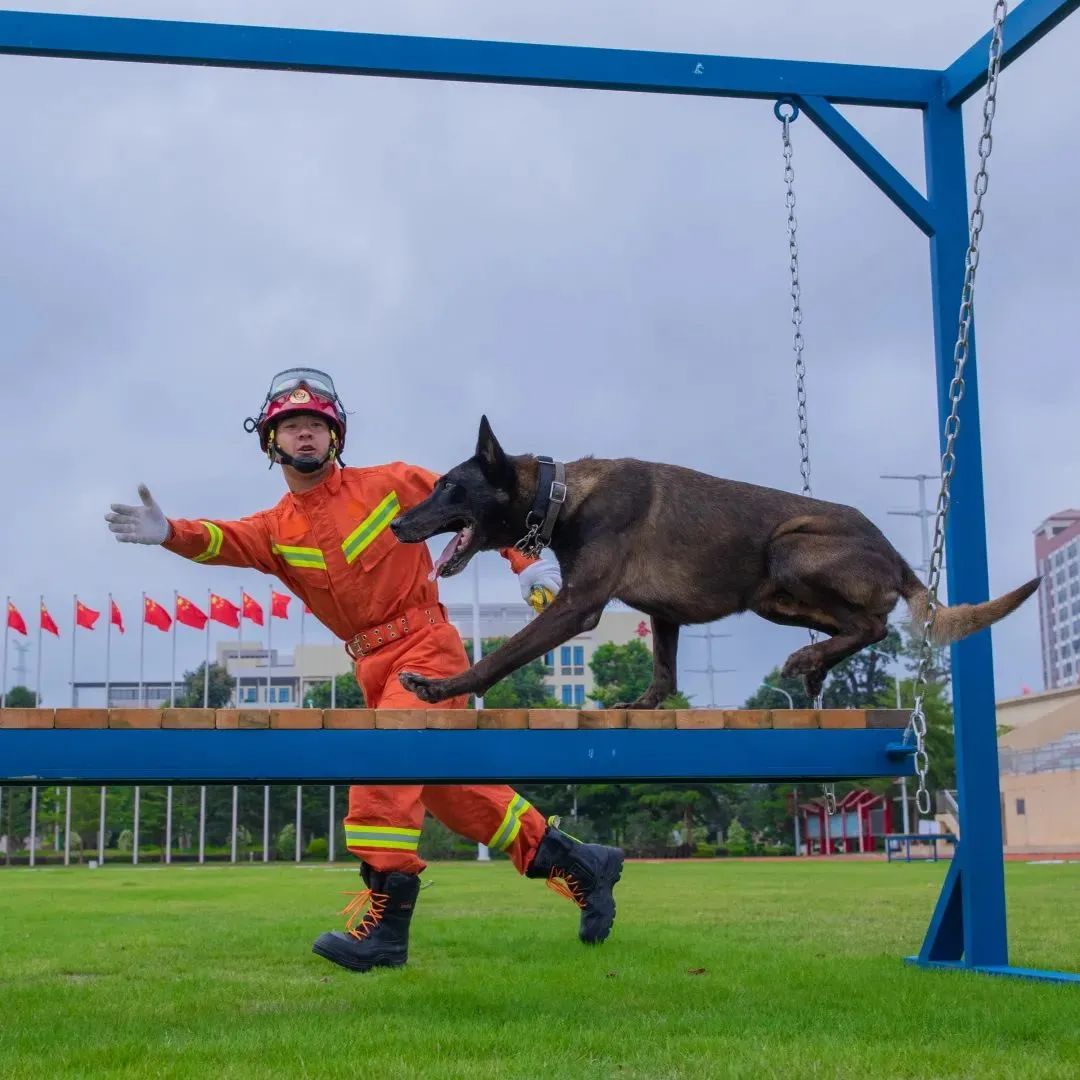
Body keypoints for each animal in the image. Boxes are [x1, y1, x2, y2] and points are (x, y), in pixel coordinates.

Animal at [388, 419, 1036, 708]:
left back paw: (809, 662)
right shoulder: (664, 617)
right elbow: (664, 672)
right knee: (857, 626)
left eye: (450, 488)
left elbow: (500, 658)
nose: (395, 524)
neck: (562, 495)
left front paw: (443, 687)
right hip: (774, 598)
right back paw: (816, 669)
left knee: (872, 625)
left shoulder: (577, 608)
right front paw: (643, 707)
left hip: (789, 547)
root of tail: (898, 556)